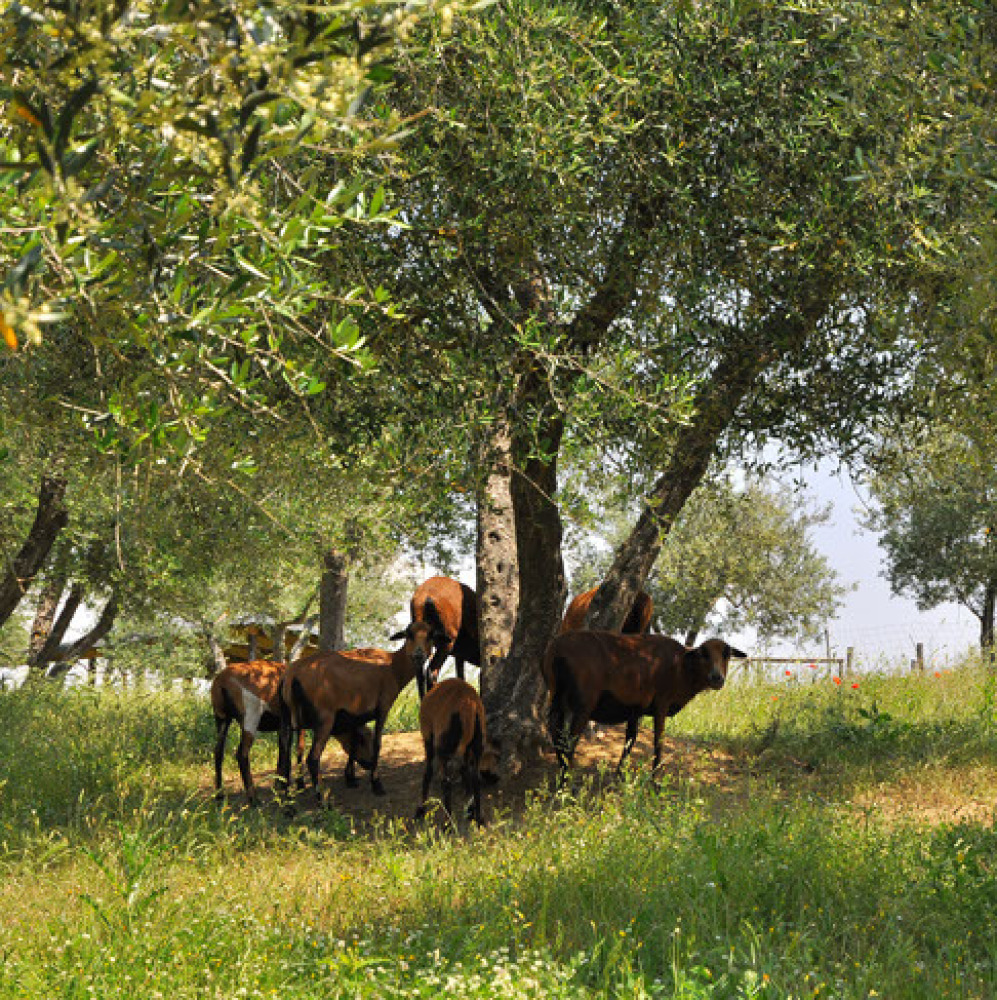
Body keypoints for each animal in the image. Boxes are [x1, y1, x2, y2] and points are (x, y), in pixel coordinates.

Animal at [210, 664, 374, 804]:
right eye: (362, 739)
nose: (370, 764)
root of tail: (221, 682)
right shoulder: (300, 724)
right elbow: (299, 749)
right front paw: (299, 784)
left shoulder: (284, 725)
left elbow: (283, 754)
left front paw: (280, 784)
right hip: (250, 716)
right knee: (241, 754)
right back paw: (253, 800)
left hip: (221, 718)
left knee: (218, 752)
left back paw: (219, 794)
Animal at [276, 620, 432, 800]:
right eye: (409, 634)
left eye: (430, 636)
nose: (419, 655)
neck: (393, 666)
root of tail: (292, 675)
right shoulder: (383, 707)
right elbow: (377, 743)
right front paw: (376, 784)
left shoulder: (356, 715)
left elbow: (353, 742)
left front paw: (350, 778)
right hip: (324, 718)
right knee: (312, 758)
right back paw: (322, 799)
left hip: (288, 716)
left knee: (285, 755)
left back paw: (287, 798)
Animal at [416, 676, 502, 824]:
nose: (495, 778)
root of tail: (469, 705)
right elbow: (466, 773)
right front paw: (469, 808)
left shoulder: (429, 737)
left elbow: (428, 773)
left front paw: (422, 810)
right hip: (476, 743)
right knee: (474, 777)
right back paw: (478, 817)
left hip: (443, 747)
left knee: (446, 781)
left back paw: (447, 822)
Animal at [540, 632, 744, 780]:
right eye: (704, 653)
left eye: (727, 654)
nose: (717, 678)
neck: (682, 668)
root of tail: (555, 650)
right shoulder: (662, 703)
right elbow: (658, 742)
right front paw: (655, 782)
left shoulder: (635, 709)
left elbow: (630, 740)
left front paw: (620, 776)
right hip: (583, 703)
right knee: (569, 742)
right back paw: (567, 784)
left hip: (558, 698)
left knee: (556, 734)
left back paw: (562, 778)